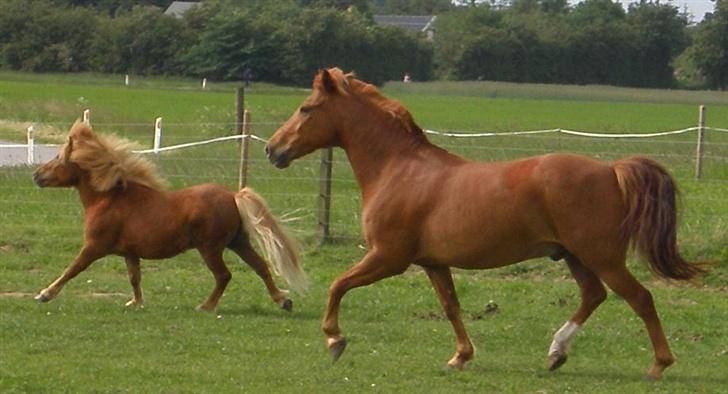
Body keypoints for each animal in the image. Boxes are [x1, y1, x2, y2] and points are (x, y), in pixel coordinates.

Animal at [33, 121, 308, 312]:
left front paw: (44, 294)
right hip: (237, 242)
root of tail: (232, 195)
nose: (36, 176)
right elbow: (134, 278)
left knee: (224, 276)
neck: (109, 198)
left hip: (210, 248)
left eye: (58, 158)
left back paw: (205, 306)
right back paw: (284, 301)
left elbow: (72, 269)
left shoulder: (94, 247)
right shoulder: (130, 253)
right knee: (261, 267)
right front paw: (135, 303)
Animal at [266, 67, 704, 378]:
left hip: (602, 256)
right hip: (575, 255)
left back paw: (659, 364)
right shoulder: (433, 263)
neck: (399, 169)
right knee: (594, 295)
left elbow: (338, 285)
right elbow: (451, 307)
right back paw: (556, 353)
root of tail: (611, 170)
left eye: (306, 108)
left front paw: (334, 339)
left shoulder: (388, 257)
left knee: (640, 298)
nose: (273, 149)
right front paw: (460, 357)